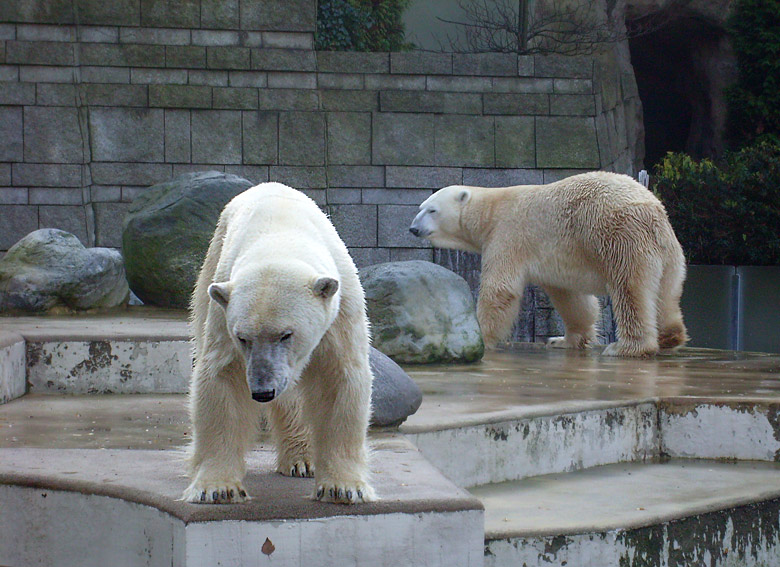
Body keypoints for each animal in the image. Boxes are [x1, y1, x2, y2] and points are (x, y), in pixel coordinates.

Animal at [184, 182, 376, 506]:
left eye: (287, 334)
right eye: (242, 337)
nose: (262, 391)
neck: (280, 233)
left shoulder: (341, 310)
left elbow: (339, 379)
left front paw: (343, 487)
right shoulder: (224, 306)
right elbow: (221, 379)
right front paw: (218, 488)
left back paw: (303, 460)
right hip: (208, 274)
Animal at [408, 171, 688, 358]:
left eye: (432, 210)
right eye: (420, 207)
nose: (413, 228)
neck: (489, 209)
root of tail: (653, 210)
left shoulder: (507, 234)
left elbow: (500, 289)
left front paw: (480, 337)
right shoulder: (554, 258)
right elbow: (571, 298)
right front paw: (562, 340)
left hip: (619, 235)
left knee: (629, 288)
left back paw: (625, 347)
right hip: (670, 251)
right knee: (666, 293)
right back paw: (670, 336)